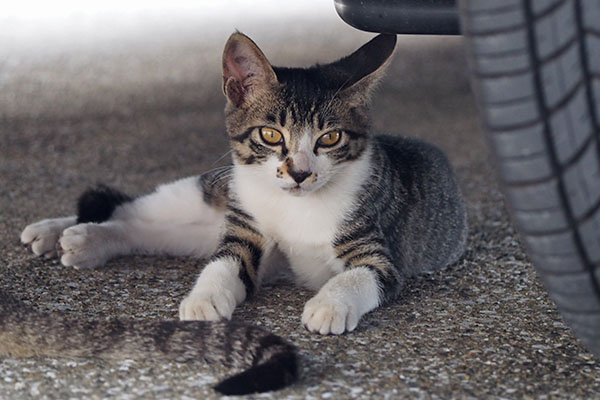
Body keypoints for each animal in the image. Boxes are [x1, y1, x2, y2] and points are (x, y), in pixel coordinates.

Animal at [17, 32, 464, 348]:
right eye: (271, 134)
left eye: (331, 138)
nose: (300, 173)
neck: (295, 207)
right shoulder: (245, 227)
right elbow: (224, 262)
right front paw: (205, 299)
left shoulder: (375, 245)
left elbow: (362, 275)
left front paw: (328, 304)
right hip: (211, 193)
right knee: (134, 207)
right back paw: (60, 230)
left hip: (202, 225)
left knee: (143, 228)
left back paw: (86, 241)